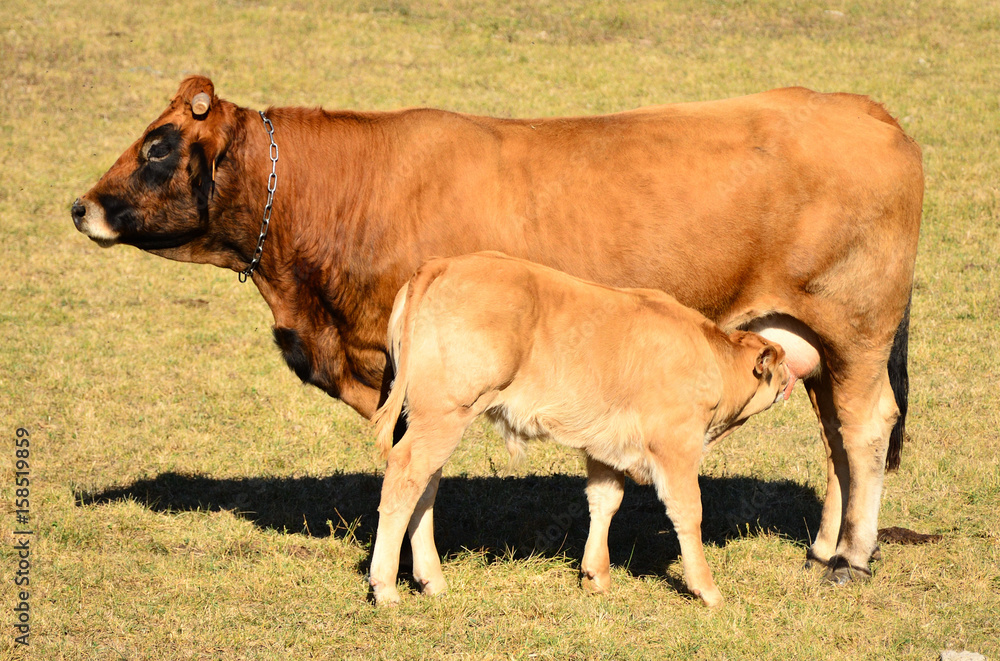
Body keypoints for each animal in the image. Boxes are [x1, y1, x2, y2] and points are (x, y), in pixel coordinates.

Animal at [369, 252, 796, 606]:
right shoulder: (676, 446)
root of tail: (443, 264)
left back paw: (432, 581)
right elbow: (688, 512)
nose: (792, 376)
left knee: (425, 488)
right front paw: (707, 590)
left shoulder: (606, 444)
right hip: (445, 414)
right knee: (404, 477)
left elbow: (604, 500)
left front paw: (596, 576)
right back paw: (386, 588)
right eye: (779, 361)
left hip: (434, 419)